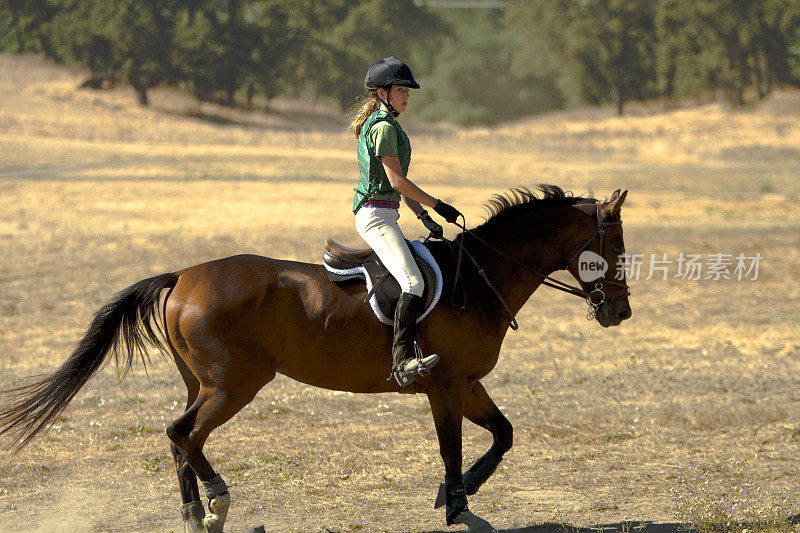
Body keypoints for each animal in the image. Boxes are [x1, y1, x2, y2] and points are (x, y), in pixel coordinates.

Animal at [0, 186, 632, 532]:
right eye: (615, 247)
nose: (620, 312)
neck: (477, 278)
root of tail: (183, 274)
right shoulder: (446, 386)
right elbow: (453, 448)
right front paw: (456, 507)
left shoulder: (467, 383)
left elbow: (502, 435)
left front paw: (458, 495)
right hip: (234, 385)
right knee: (181, 434)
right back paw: (216, 503)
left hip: (205, 384)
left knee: (182, 439)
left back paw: (197, 517)